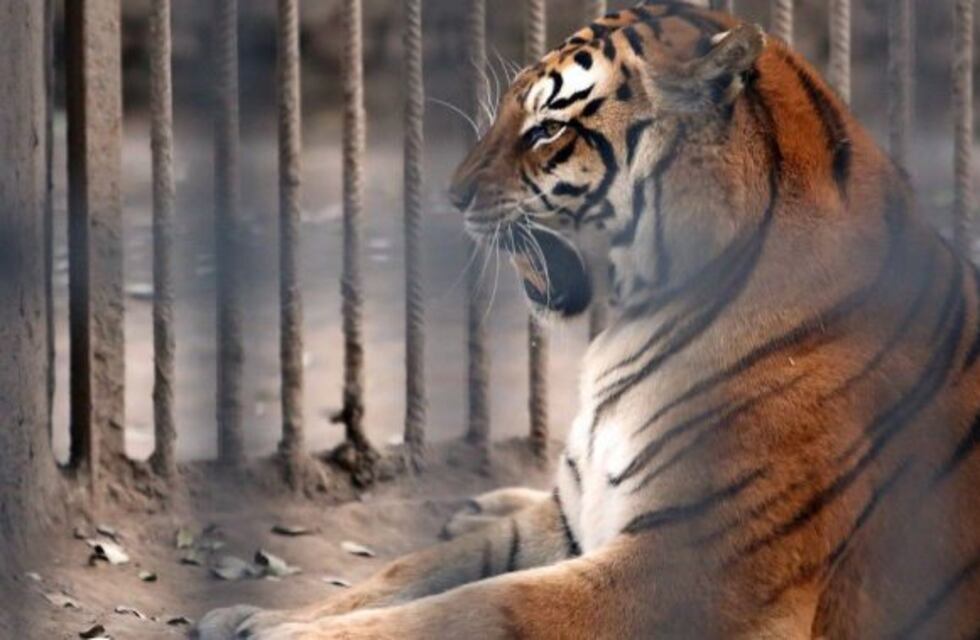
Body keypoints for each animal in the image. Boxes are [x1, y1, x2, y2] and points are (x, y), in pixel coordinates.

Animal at [195, 2, 980, 638]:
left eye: (547, 129)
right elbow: (421, 567)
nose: (451, 195)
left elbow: (484, 605)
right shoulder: (575, 518)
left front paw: (274, 632)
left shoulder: (689, 568)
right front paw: (248, 614)